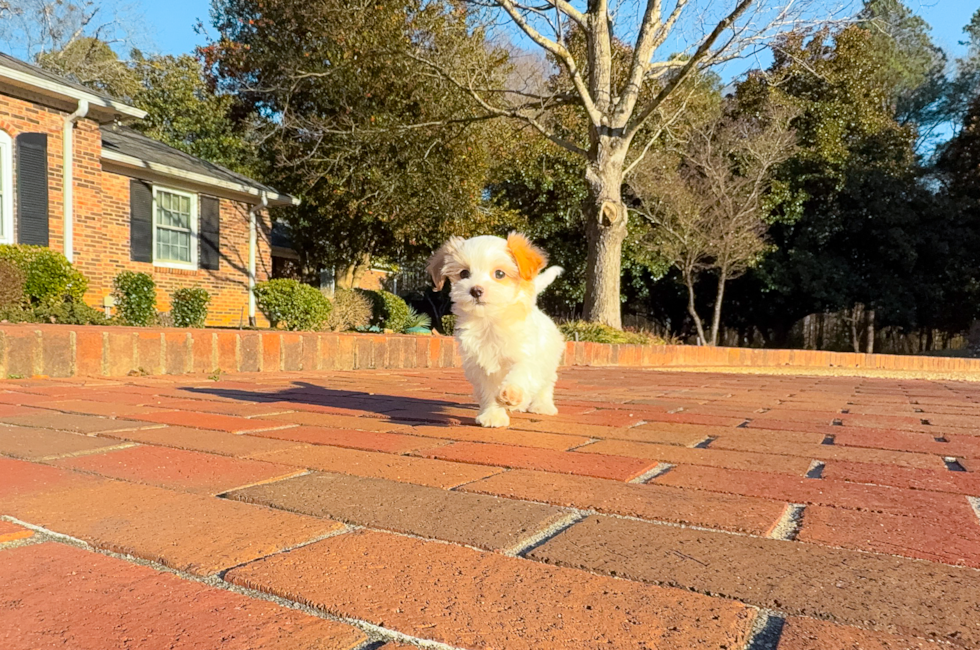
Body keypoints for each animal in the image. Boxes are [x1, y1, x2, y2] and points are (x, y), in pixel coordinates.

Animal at [426, 232, 568, 426]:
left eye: (499, 273)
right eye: (464, 273)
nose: (476, 290)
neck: (491, 320)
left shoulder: (527, 354)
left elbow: (521, 372)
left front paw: (512, 392)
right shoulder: (479, 365)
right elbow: (488, 392)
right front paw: (492, 416)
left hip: (549, 359)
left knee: (546, 383)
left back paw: (542, 406)